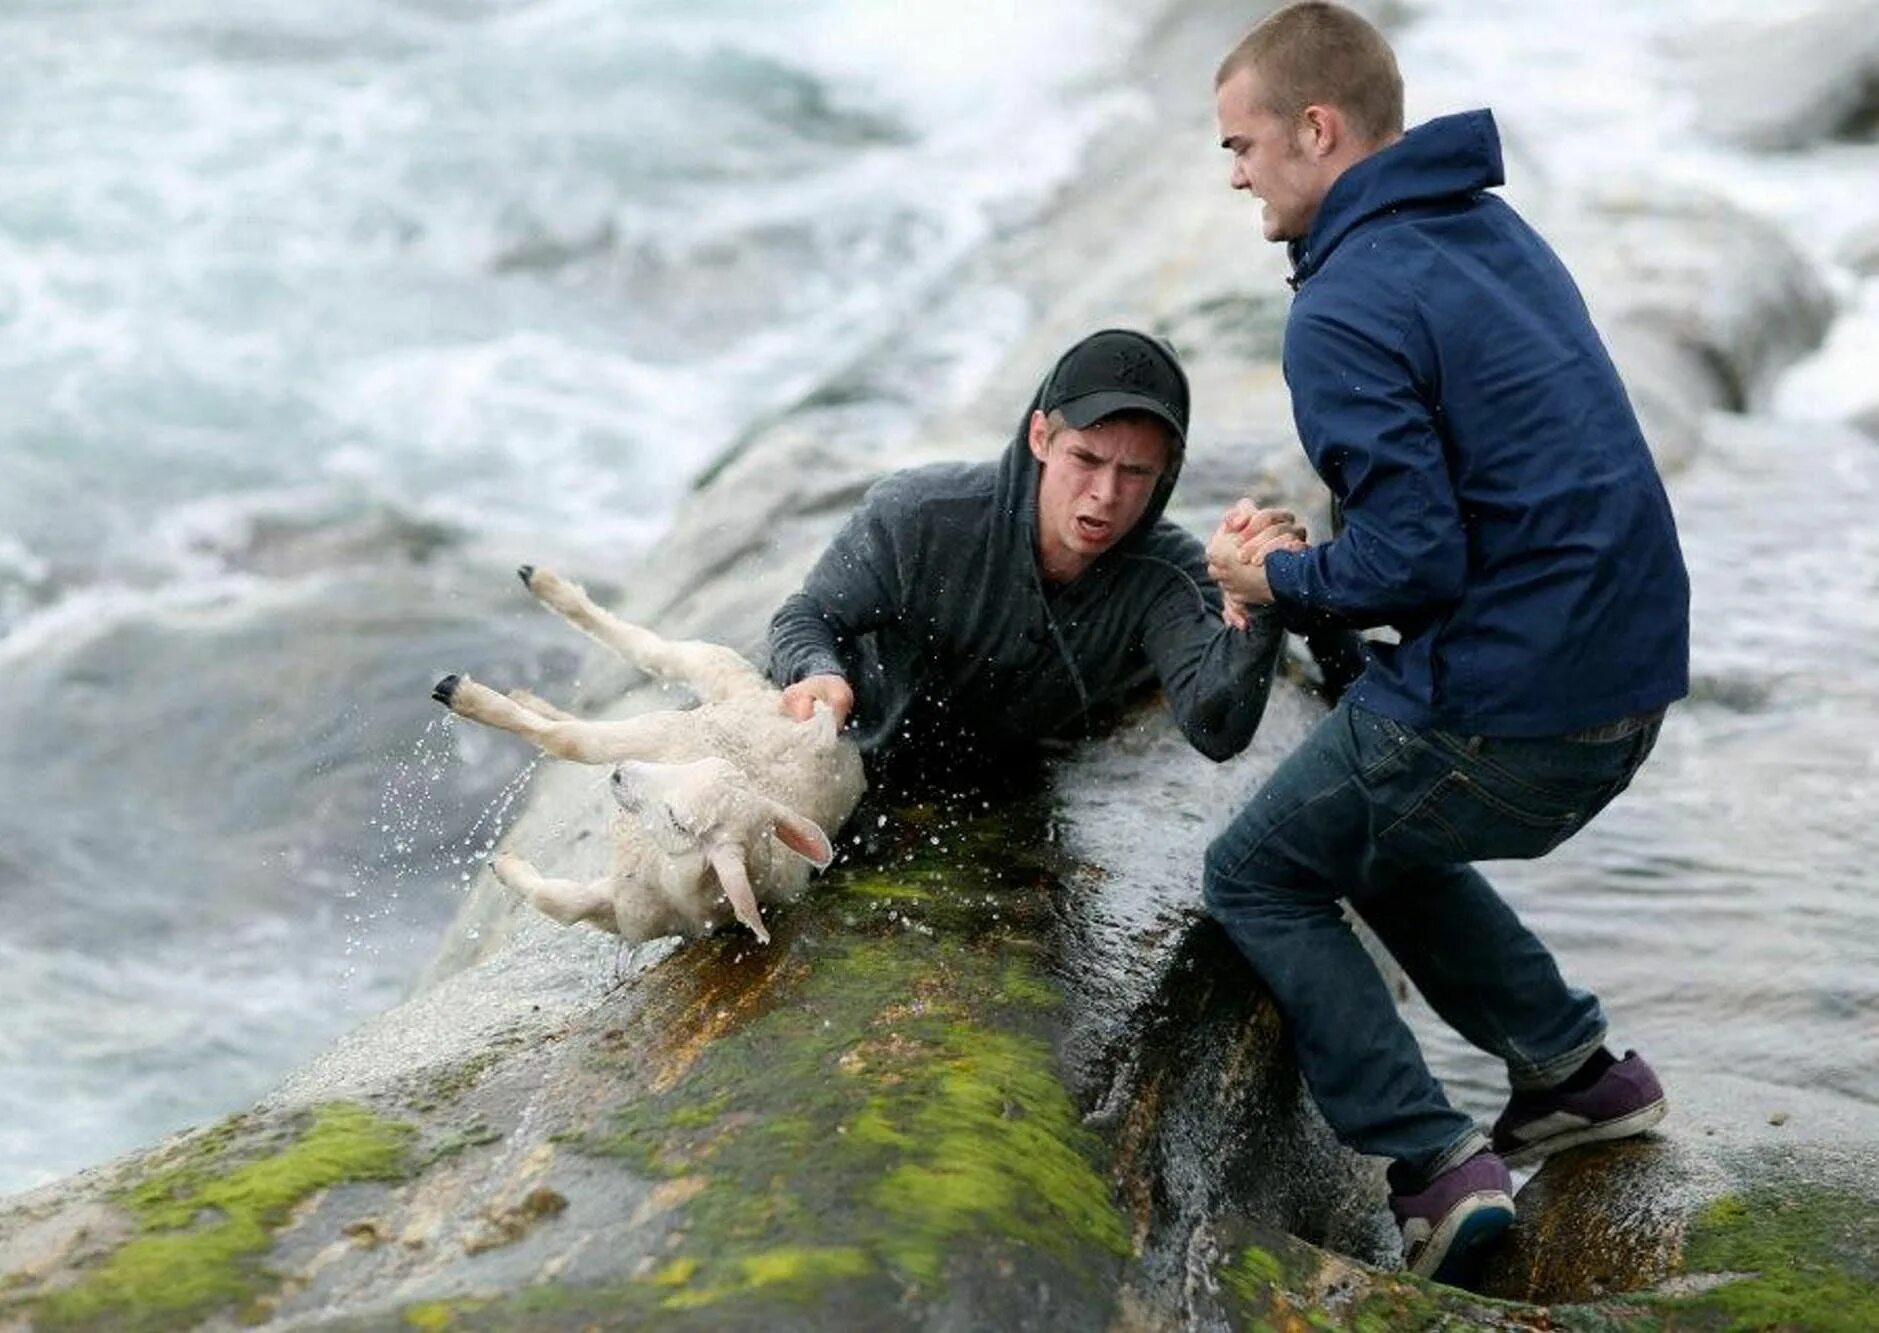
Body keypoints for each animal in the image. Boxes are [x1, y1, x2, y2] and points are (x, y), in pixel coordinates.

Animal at [432, 567, 864, 940]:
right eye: (701, 764)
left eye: (678, 821)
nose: (620, 774)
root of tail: (825, 728)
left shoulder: (625, 911)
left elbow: (563, 903)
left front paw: (503, 864)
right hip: (703, 691)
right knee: (651, 652)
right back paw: (543, 588)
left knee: (590, 719)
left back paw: (480, 691)